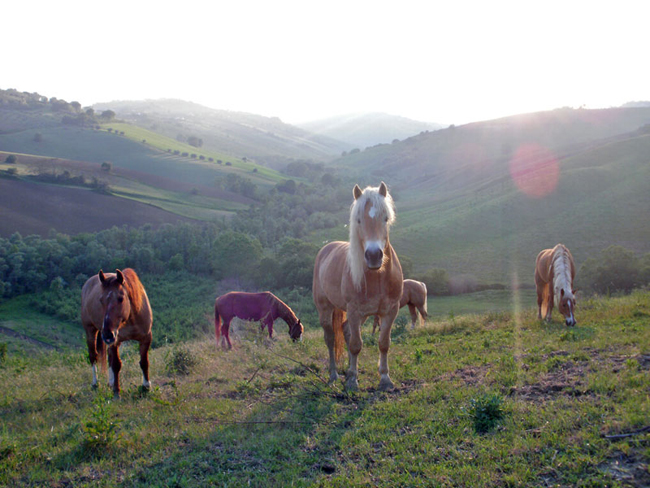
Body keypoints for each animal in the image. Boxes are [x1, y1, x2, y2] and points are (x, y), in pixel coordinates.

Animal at [81, 268, 153, 398]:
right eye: (101, 300)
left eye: (120, 298)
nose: (107, 334)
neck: (131, 318)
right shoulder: (115, 341)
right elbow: (116, 365)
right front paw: (117, 391)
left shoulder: (146, 338)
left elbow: (144, 362)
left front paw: (146, 386)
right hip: (90, 331)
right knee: (93, 356)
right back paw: (95, 384)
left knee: (108, 357)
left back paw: (110, 383)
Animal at [313, 181, 403, 391]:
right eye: (359, 220)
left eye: (385, 218)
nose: (374, 256)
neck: (377, 277)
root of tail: (326, 249)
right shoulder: (354, 311)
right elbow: (355, 345)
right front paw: (353, 380)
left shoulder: (390, 311)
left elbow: (383, 343)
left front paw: (385, 378)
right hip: (325, 309)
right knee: (330, 339)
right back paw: (334, 375)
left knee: (345, 331)